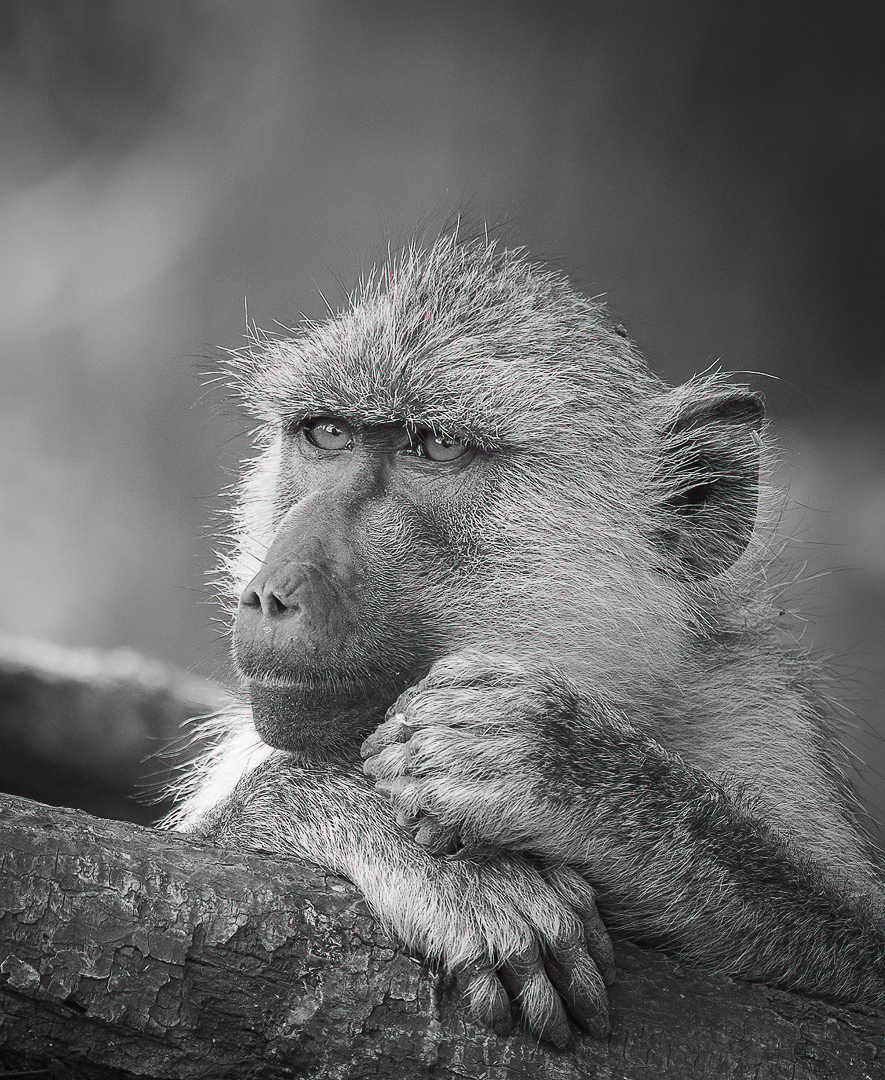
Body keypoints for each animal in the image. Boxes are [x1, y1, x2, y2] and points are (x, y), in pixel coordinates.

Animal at [165, 232, 885, 1048]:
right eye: (327, 434)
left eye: (436, 447)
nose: (270, 593)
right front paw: (440, 863)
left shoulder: (748, 704)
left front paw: (562, 769)